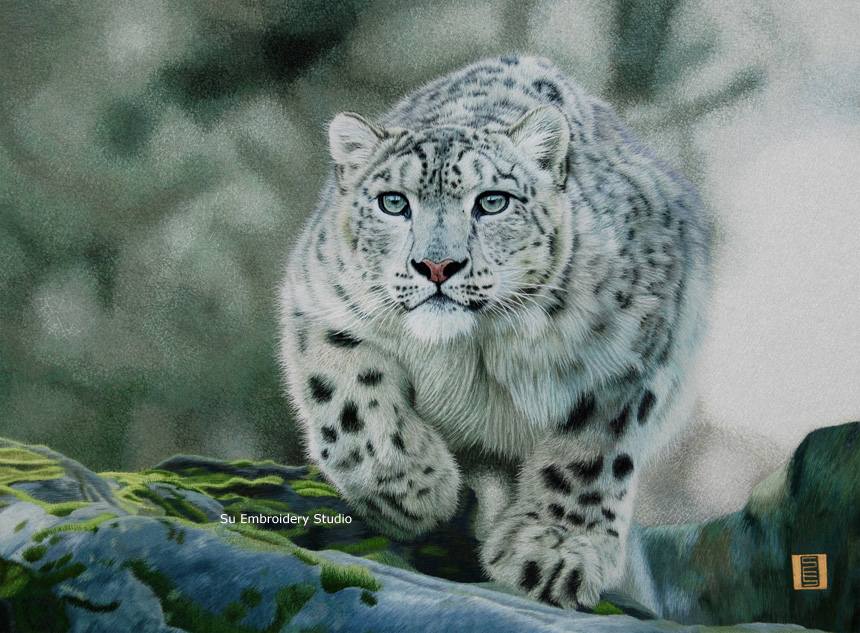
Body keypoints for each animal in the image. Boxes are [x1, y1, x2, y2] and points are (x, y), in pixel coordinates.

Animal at [278, 54, 711, 609]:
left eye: (492, 202)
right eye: (393, 203)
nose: (437, 266)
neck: (470, 349)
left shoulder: (634, 355)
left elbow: (592, 453)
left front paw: (554, 554)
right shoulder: (321, 304)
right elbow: (352, 401)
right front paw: (415, 491)